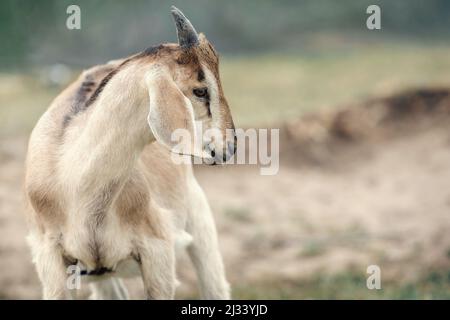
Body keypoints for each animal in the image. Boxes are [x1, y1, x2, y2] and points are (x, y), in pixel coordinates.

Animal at [24, 6, 236, 298]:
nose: (228, 147)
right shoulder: (51, 262)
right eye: (201, 90)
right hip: (102, 275)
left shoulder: (157, 252)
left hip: (199, 221)